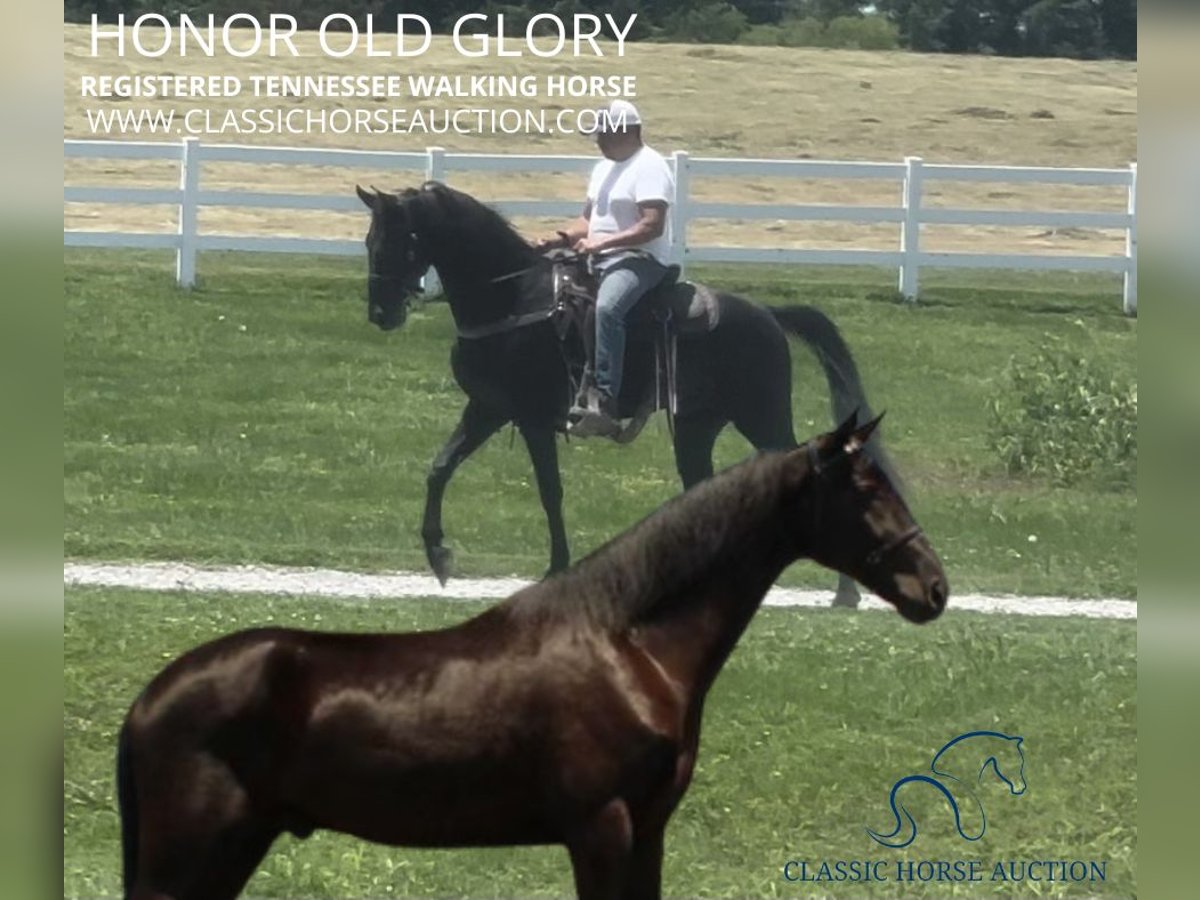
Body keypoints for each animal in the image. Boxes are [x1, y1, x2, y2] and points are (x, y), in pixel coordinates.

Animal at [119, 415, 945, 900]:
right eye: (867, 486)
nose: (932, 587)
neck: (628, 647)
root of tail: (149, 700)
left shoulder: (649, 831)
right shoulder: (601, 827)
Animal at [350, 181, 897, 607]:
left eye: (400, 240)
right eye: (369, 240)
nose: (380, 313)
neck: (514, 298)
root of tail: (766, 314)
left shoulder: (531, 417)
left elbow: (550, 491)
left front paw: (555, 569)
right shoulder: (488, 408)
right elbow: (441, 467)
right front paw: (439, 556)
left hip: (760, 416)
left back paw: (846, 591)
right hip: (698, 426)